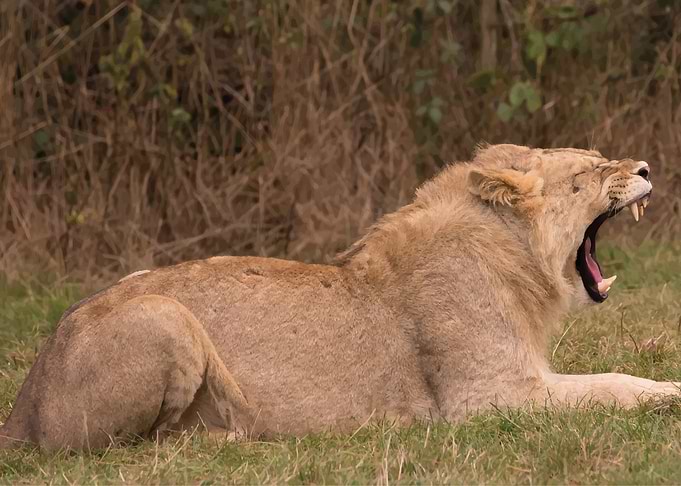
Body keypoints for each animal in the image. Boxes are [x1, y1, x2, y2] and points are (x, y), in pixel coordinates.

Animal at [1, 144, 677, 451]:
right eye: (588, 173)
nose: (646, 168)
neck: (518, 265)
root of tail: (24, 401)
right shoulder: (489, 401)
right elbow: (610, 386)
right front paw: (669, 395)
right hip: (165, 315)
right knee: (139, 444)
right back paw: (234, 437)